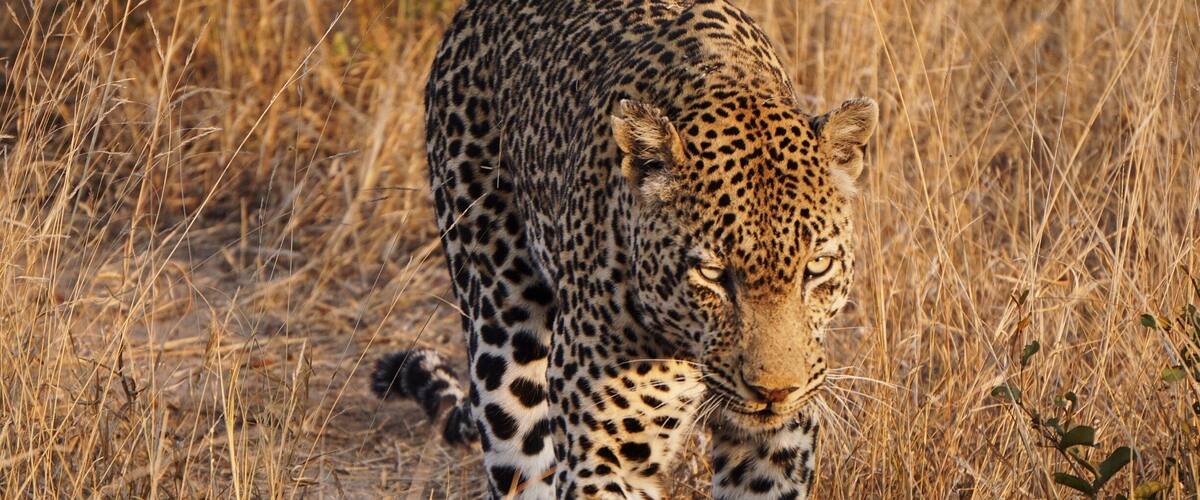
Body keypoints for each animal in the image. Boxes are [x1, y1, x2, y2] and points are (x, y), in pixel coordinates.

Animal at [370, 1, 878, 498]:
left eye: (818, 267)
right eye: (712, 274)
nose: (775, 392)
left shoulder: (780, 445)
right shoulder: (606, 456)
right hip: (500, 331)